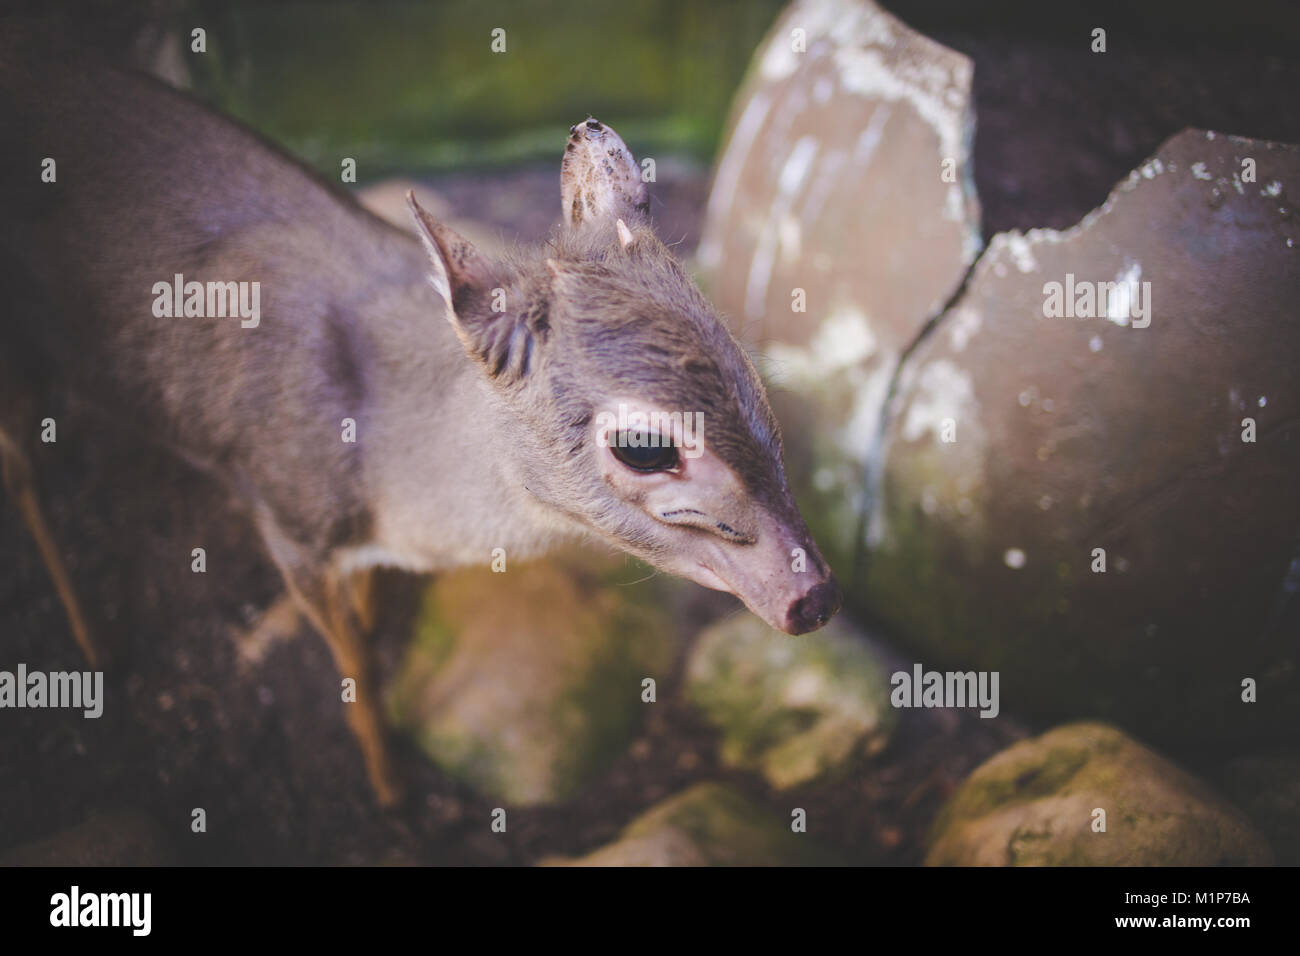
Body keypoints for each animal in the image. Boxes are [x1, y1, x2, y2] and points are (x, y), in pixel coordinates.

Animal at [0, 31, 842, 806]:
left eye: (743, 364)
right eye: (643, 445)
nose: (812, 595)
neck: (374, 448)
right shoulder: (285, 515)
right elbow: (354, 664)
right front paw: (388, 785)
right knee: (22, 466)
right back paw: (92, 642)